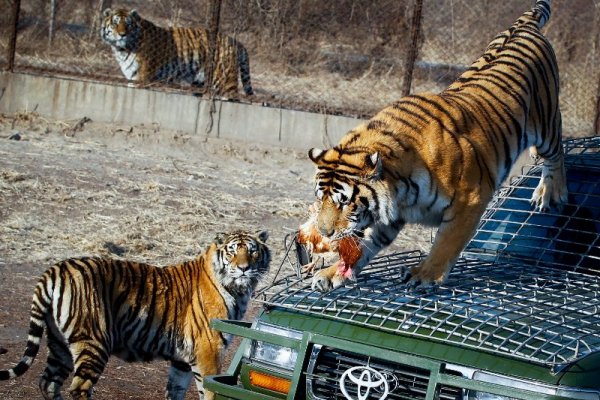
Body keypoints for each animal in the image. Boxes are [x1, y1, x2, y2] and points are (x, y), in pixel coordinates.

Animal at [300, 0, 568, 294]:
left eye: (344, 202)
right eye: (320, 199)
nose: (324, 233)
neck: (400, 188)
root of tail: (524, 25)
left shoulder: (470, 199)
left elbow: (445, 243)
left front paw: (426, 274)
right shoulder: (388, 217)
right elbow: (364, 244)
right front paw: (332, 272)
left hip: (546, 122)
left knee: (557, 152)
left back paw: (550, 192)